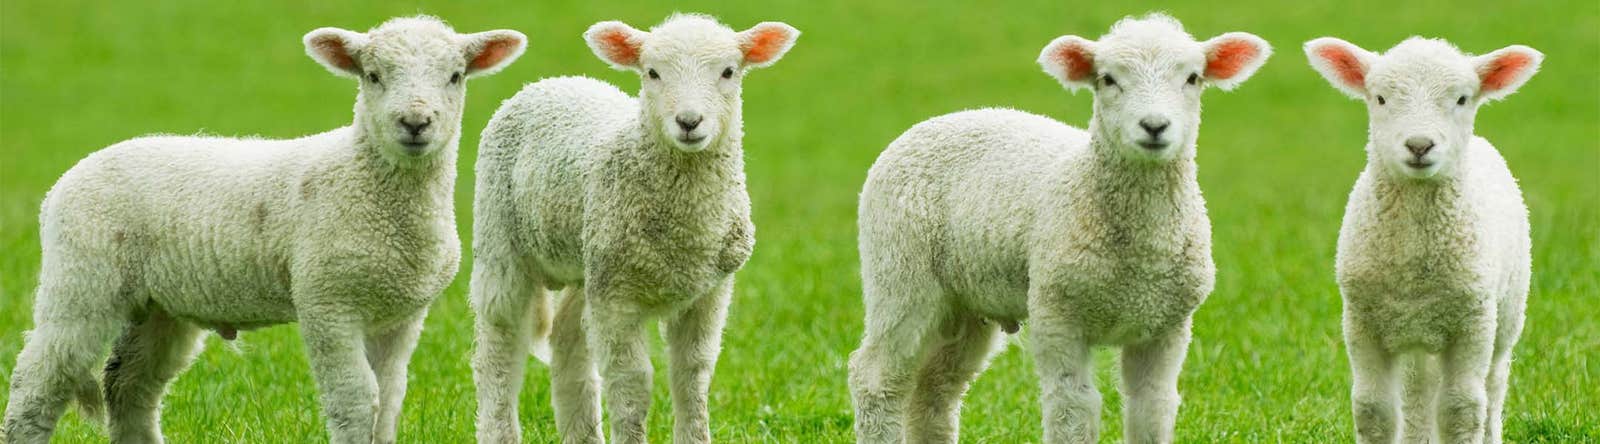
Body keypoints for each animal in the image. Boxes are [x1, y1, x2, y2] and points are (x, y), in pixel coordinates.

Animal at [0, 16, 525, 444]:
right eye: (372, 76)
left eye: (454, 76)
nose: (415, 122)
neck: (366, 184)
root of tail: (65, 181)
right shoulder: (327, 302)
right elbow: (356, 400)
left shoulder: (401, 314)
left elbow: (390, 400)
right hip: (82, 280)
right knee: (38, 380)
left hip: (160, 305)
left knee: (129, 387)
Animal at [468, 14, 798, 444]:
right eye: (652, 73)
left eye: (729, 71)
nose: (689, 122)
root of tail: (550, 81)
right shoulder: (617, 298)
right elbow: (632, 383)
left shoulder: (710, 291)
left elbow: (693, 374)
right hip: (501, 237)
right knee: (499, 348)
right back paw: (499, 428)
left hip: (589, 263)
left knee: (568, 343)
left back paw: (582, 435)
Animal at [848, 14, 1271, 444]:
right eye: (1107, 79)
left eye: (1193, 78)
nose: (1154, 126)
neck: (1141, 255)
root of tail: (931, 123)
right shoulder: (1058, 315)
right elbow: (1073, 407)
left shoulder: (1166, 326)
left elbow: (1152, 406)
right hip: (900, 273)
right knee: (876, 378)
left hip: (965, 304)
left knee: (935, 389)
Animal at [1305, 37, 1540, 444]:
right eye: (1380, 99)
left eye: (1462, 99)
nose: (1419, 145)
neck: (1411, 262)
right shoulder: (1363, 321)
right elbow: (1373, 410)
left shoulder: (1472, 323)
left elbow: (1462, 410)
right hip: (1415, 334)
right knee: (1417, 393)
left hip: (1507, 314)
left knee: (1493, 389)